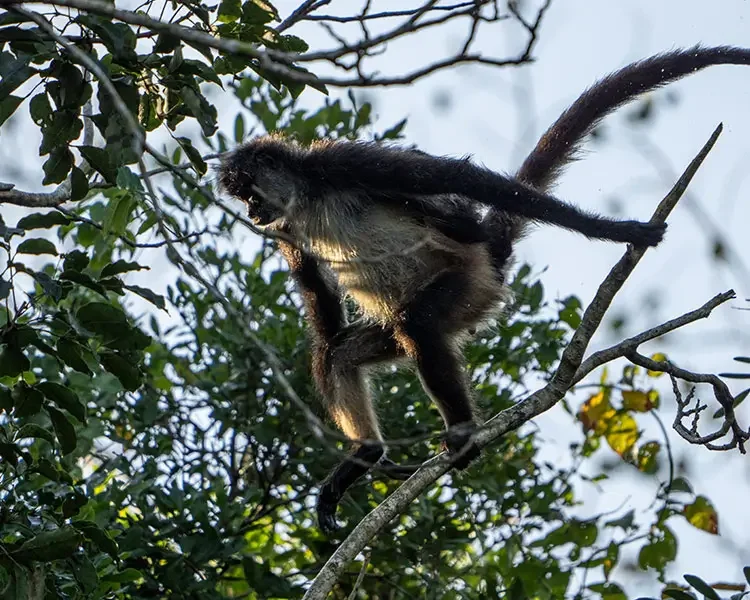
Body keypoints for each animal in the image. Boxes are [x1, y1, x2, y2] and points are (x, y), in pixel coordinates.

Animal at [219, 44, 750, 533]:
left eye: (249, 191)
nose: (251, 213)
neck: (307, 197)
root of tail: (489, 266)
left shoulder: (341, 162)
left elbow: (452, 179)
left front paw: (612, 229)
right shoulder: (288, 224)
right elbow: (315, 287)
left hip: (467, 285)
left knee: (419, 321)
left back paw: (460, 430)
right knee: (343, 353)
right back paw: (367, 452)